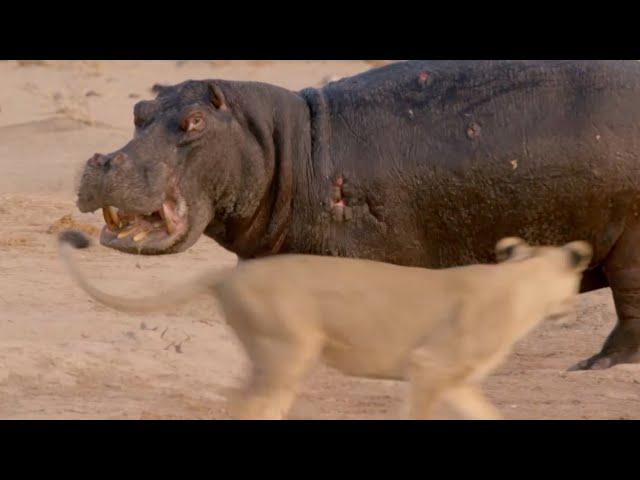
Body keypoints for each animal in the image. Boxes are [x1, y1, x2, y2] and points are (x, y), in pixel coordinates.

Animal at [57, 231, 592, 418]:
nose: (573, 309)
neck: (521, 279)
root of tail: (229, 273)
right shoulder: (429, 366)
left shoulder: (456, 382)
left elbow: (488, 415)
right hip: (290, 353)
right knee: (251, 408)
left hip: (274, 358)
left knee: (244, 404)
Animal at [76, 61, 640, 372]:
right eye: (139, 113)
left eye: (194, 122)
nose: (103, 160)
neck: (287, 146)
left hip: (629, 248)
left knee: (629, 310)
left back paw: (596, 364)